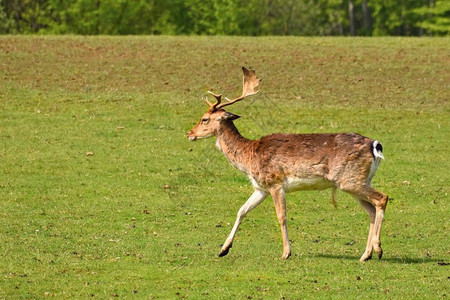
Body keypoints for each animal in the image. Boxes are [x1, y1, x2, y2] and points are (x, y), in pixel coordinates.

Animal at [185, 67, 388, 262]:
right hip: (357, 181)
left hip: (350, 179)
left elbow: (281, 217)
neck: (248, 158)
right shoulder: (261, 188)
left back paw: (378, 249)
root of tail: (375, 145)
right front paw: (223, 249)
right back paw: (365, 255)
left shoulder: (275, 183)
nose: (189, 133)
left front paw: (285, 253)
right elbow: (241, 210)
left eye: (204, 119)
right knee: (371, 210)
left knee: (382, 198)